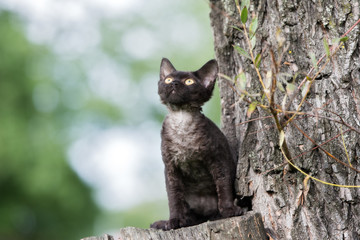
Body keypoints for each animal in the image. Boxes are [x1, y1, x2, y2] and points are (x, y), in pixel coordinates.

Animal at [150, 57, 243, 231]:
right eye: (168, 79)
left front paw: (229, 210)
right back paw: (170, 222)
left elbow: (224, 186)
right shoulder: (170, 167)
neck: (182, 119)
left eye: (189, 81)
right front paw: (174, 220)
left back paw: (215, 215)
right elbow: (173, 197)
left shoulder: (219, 160)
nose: (174, 83)